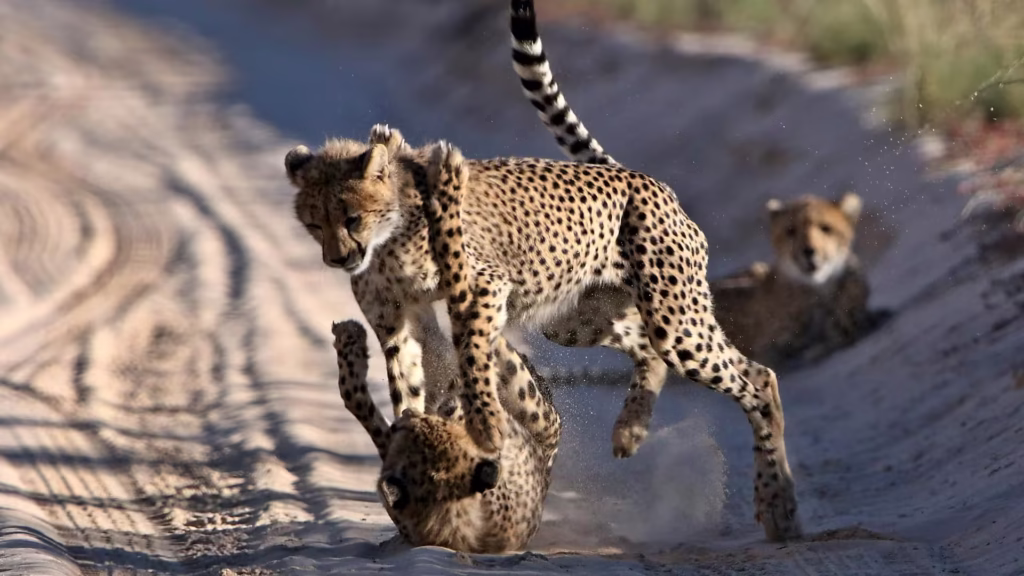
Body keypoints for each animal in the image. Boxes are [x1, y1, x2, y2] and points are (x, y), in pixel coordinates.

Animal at [285, 123, 802, 540]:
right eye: (314, 223)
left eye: (351, 217)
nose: (338, 257)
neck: (386, 239)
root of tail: (646, 181)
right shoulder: (399, 322)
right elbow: (406, 390)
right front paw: (418, 429)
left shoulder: (482, 287)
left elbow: (472, 357)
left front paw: (485, 425)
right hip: (576, 319)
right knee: (659, 353)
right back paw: (630, 430)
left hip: (673, 320)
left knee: (757, 381)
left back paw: (778, 503)